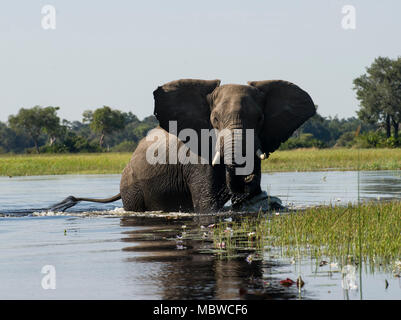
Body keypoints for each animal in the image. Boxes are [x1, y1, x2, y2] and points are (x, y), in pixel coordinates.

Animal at [50, 79, 314, 214]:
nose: (250, 184)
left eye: (260, 119)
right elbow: (208, 207)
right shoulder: (197, 159)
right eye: (214, 120)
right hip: (132, 187)